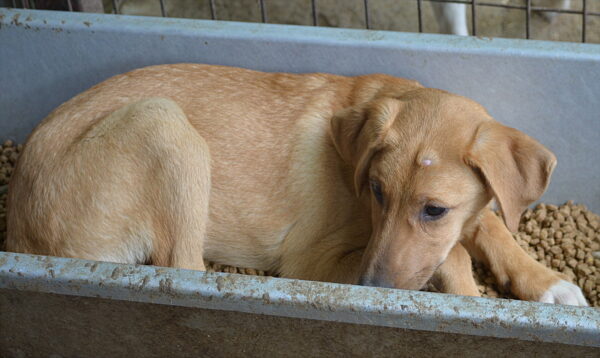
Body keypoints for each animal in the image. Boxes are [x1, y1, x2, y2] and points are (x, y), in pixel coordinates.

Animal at [4, 63, 584, 304]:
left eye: (434, 210)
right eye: (376, 191)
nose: (369, 289)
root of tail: (18, 228)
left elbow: (490, 225)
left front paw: (545, 283)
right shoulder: (312, 262)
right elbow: (457, 251)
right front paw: (468, 293)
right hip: (164, 126)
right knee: (181, 268)